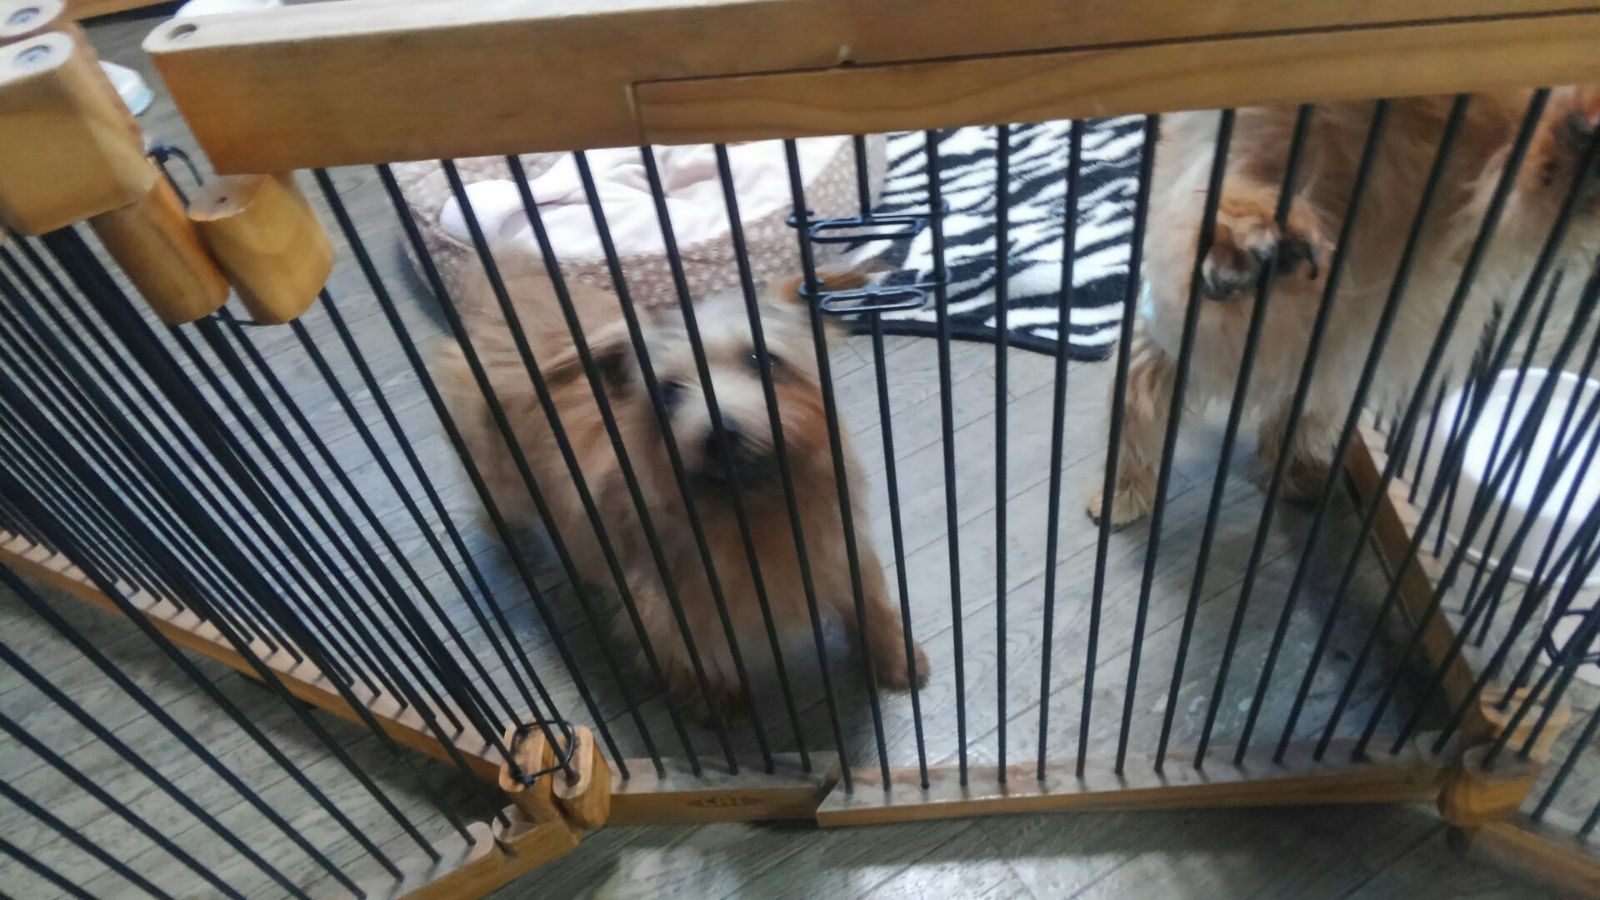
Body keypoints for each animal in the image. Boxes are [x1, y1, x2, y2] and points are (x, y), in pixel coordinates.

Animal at [436, 258, 927, 721]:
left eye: (762, 361)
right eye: (668, 391)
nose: (720, 434)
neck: (749, 505)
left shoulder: (842, 548)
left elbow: (871, 603)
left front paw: (895, 658)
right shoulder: (664, 608)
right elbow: (692, 660)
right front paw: (716, 703)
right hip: (500, 476)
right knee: (494, 512)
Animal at [1090, 87, 1600, 528]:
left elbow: (1535, 183)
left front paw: (1577, 136)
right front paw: (1248, 241)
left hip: (1330, 383)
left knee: (1294, 426)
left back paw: (1297, 474)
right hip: (1167, 347)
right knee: (1137, 411)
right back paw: (1120, 493)